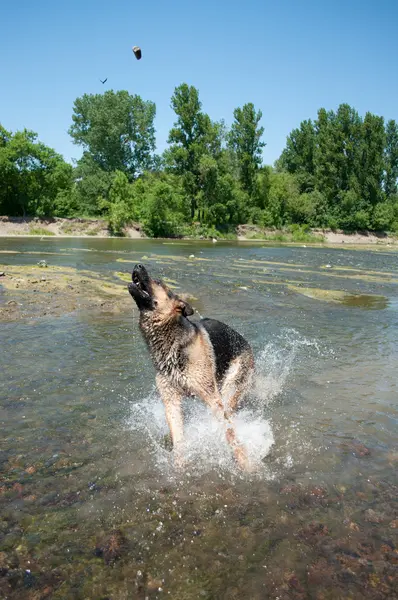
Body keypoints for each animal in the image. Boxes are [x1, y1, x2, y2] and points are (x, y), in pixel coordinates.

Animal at [128, 264, 255, 472]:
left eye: (158, 282)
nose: (138, 265)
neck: (172, 343)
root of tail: (247, 344)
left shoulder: (213, 399)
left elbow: (230, 434)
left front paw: (245, 462)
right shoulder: (170, 399)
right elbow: (178, 437)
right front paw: (179, 465)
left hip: (230, 387)